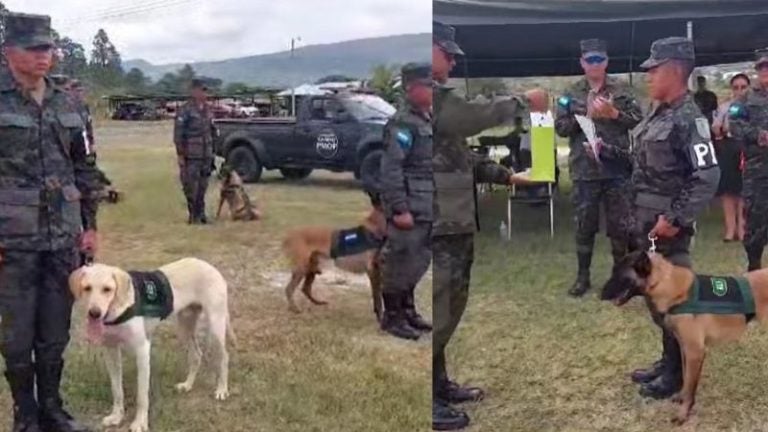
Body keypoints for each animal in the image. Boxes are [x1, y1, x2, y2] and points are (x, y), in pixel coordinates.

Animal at [70, 258, 236, 432]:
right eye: (87, 288)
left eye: (107, 289)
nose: (94, 313)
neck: (118, 309)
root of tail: (207, 264)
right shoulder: (111, 352)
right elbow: (117, 391)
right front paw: (116, 416)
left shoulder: (142, 351)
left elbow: (142, 396)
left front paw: (140, 423)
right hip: (184, 327)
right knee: (196, 355)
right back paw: (187, 385)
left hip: (216, 326)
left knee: (224, 357)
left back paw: (222, 389)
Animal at [600, 250, 768, 426]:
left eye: (618, 274)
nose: (600, 295)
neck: (668, 284)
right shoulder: (684, 348)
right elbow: (686, 380)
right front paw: (680, 398)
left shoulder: (695, 352)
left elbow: (690, 387)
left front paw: (682, 414)